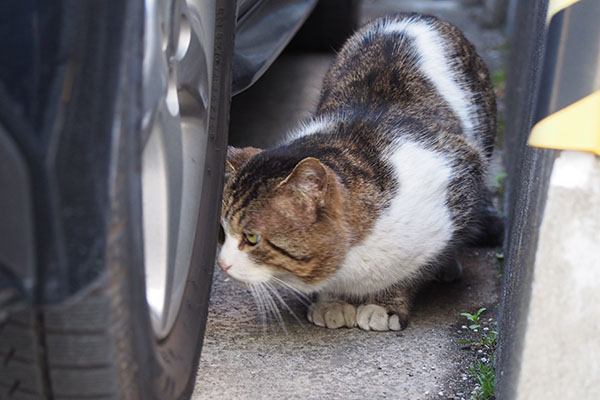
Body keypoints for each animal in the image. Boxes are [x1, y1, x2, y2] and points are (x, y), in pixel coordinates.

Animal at [218, 12, 500, 332]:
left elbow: (414, 267)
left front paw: (385, 303)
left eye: (252, 238)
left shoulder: (460, 170)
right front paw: (332, 301)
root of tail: (414, 15)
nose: (222, 264)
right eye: (223, 231)